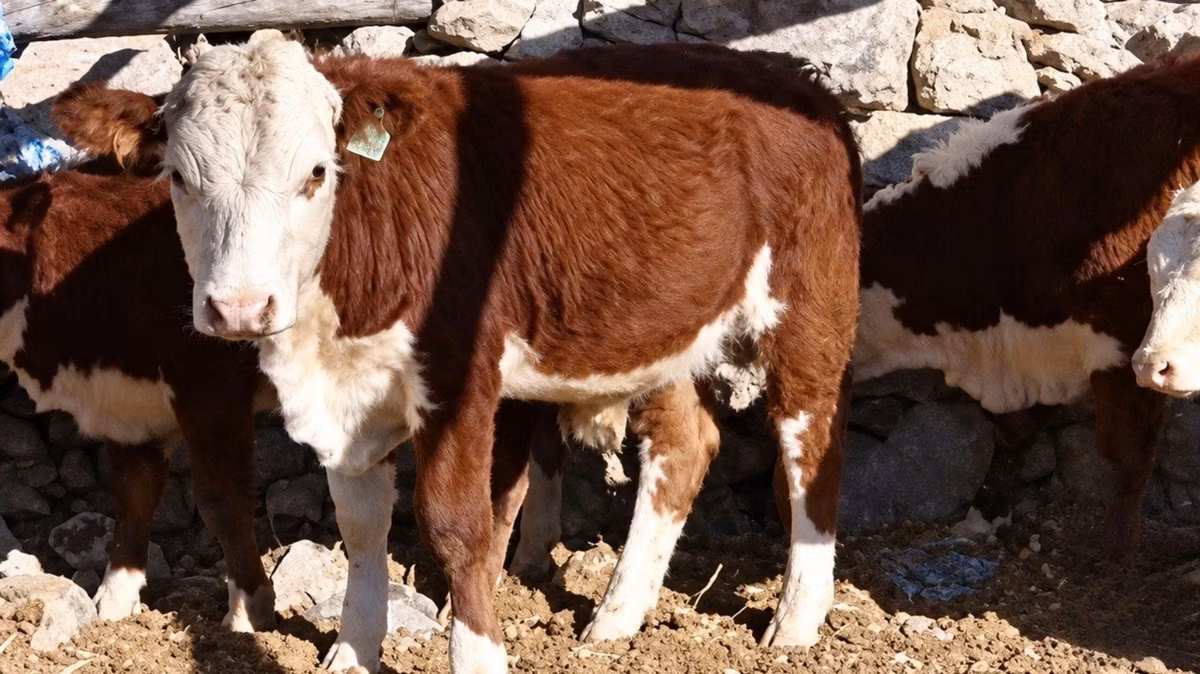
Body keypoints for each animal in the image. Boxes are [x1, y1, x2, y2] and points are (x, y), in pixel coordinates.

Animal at [87, 35, 862, 673]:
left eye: (315, 172)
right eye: (179, 178)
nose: (241, 308)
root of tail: (797, 81)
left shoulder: (460, 378)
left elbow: (456, 524)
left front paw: (479, 655)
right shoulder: (343, 398)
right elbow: (360, 526)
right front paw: (352, 653)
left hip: (809, 306)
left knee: (810, 443)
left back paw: (796, 622)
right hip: (664, 326)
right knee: (683, 444)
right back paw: (616, 616)